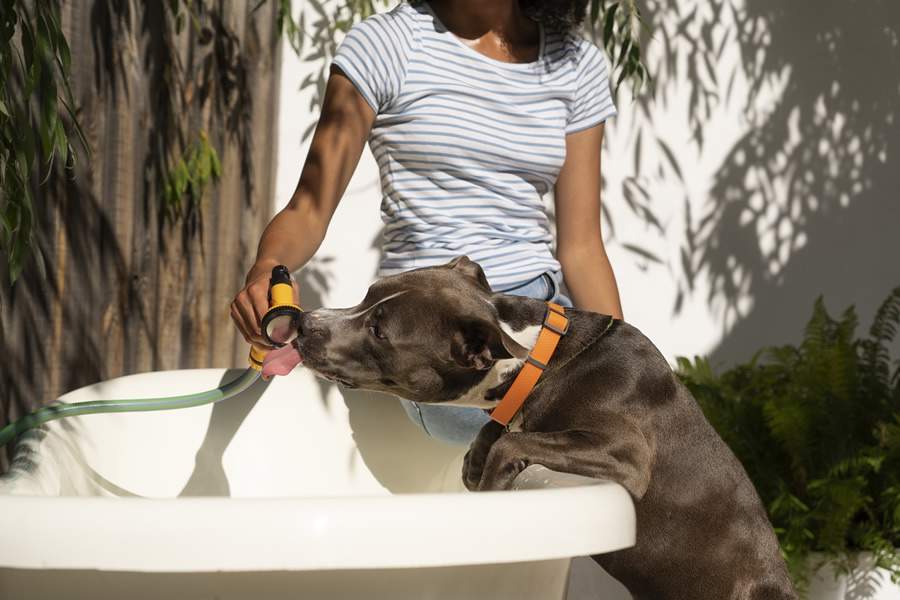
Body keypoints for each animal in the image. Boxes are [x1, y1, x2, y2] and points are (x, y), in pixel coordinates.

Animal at [264, 255, 800, 596]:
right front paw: (474, 461)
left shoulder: (627, 453)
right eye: (367, 294)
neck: (542, 361)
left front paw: (492, 493)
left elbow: (516, 440)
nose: (306, 322)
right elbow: (499, 434)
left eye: (378, 331)